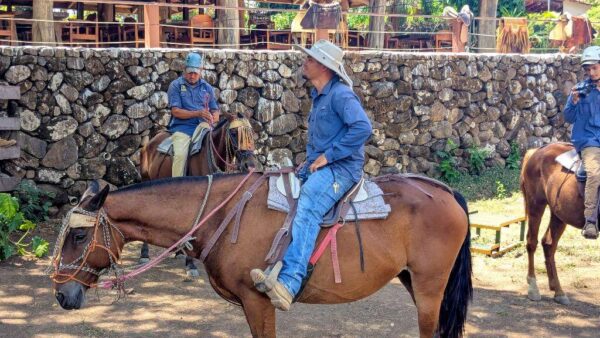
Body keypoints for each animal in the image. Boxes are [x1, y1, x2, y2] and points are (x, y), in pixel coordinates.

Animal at [51, 174, 472, 338]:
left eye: (78, 234)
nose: (61, 294)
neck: (220, 216)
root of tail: (447, 192)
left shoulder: (258, 301)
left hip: (430, 286)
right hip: (413, 281)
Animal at [520, 141, 584, 304]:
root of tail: (536, 151)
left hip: (559, 214)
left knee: (549, 244)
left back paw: (558, 290)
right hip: (536, 205)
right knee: (532, 242)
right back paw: (533, 288)